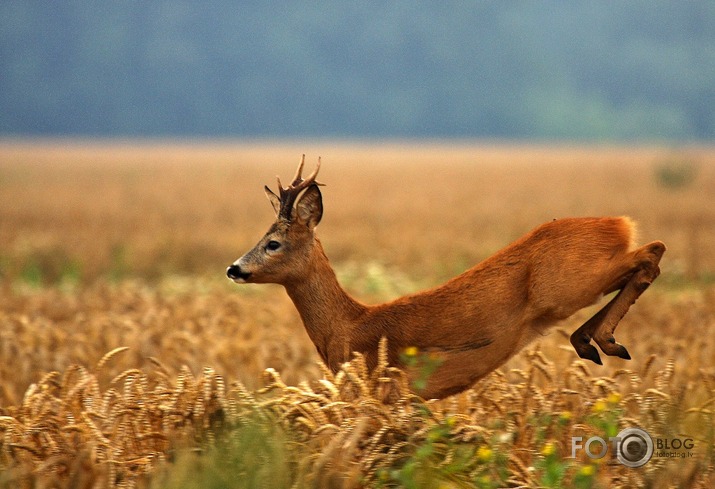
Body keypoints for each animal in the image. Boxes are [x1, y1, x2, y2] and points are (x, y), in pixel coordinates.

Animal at [228, 154, 664, 398]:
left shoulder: (388, 393)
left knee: (652, 252)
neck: (349, 329)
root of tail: (618, 223)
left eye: (273, 243)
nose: (234, 268)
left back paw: (602, 340)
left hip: (570, 284)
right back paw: (591, 341)